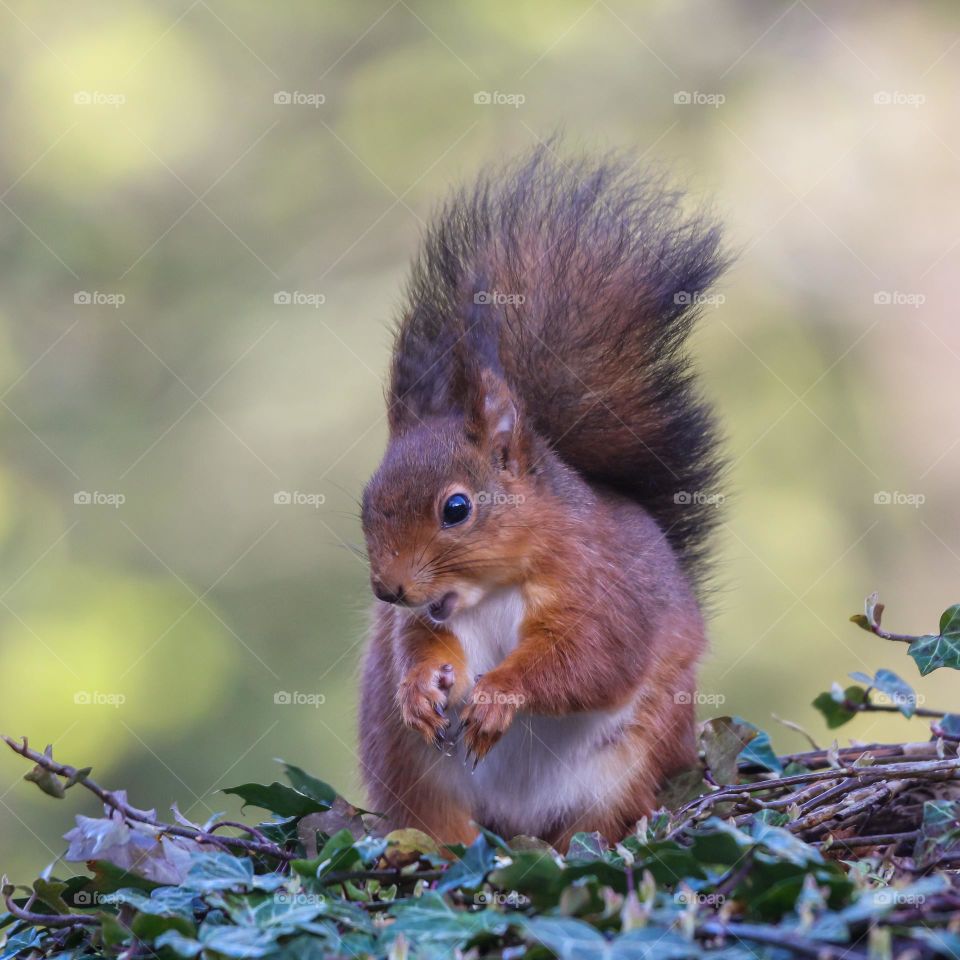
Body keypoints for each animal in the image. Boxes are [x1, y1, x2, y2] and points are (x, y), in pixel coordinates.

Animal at [356, 148, 724, 848]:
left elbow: (589, 661)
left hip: (631, 765)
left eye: (456, 509)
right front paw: (420, 686)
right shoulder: (426, 620)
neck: (495, 587)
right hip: (408, 768)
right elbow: (417, 645)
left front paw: (500, 693)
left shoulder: (604, 589)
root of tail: (517, 824)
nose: (388, 590)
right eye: (365, 504)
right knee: (438, 828)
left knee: (594, 830)